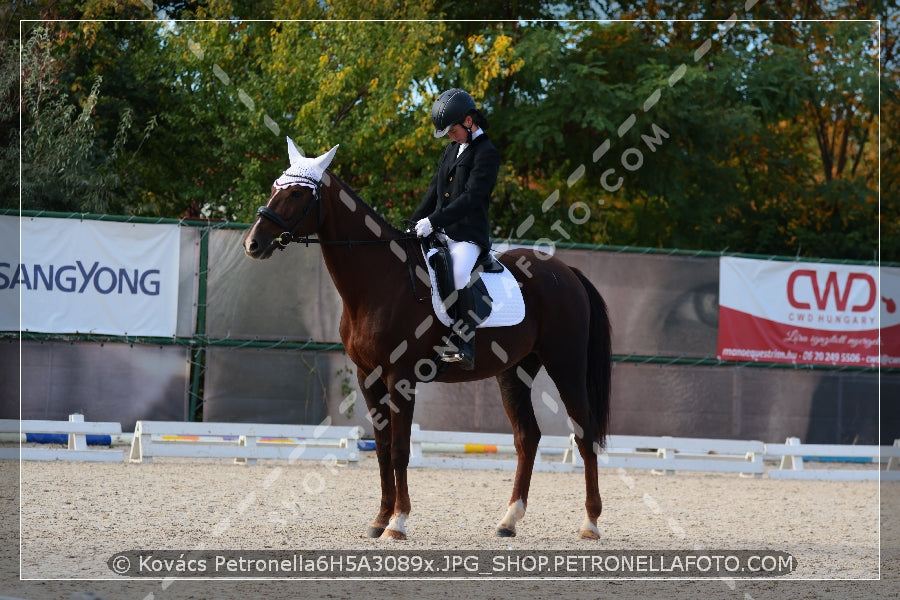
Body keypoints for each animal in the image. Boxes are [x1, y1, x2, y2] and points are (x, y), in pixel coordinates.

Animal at [243, 139, 616, 540]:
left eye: (297, 193)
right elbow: (382, 448)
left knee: (584, 434)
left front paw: (398, 522)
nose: (253, 243)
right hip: (514, 371)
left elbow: (400, 450)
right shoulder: (368, 376)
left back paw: (591, 523)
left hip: (566, 364)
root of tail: (567, 272)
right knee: (526, 437)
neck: (378, 280)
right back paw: (509, 520)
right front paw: (380, 519)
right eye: (274, 188)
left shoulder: (400, 377)